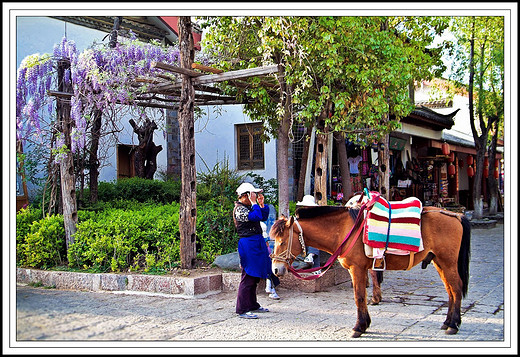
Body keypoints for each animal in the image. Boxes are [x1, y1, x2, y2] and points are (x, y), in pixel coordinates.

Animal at [268, 202, 472, 338]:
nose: (276, 269)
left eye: (282, 242)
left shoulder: (356, 269)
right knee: (450, 291)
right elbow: (362, 296)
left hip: (448, 262)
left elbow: (359, 297)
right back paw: (447, 322)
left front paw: (359, 327)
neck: (343, 230)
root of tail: (455, 215)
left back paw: (453, 325)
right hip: (439, 262)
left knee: (456, 288)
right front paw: (365, 324)